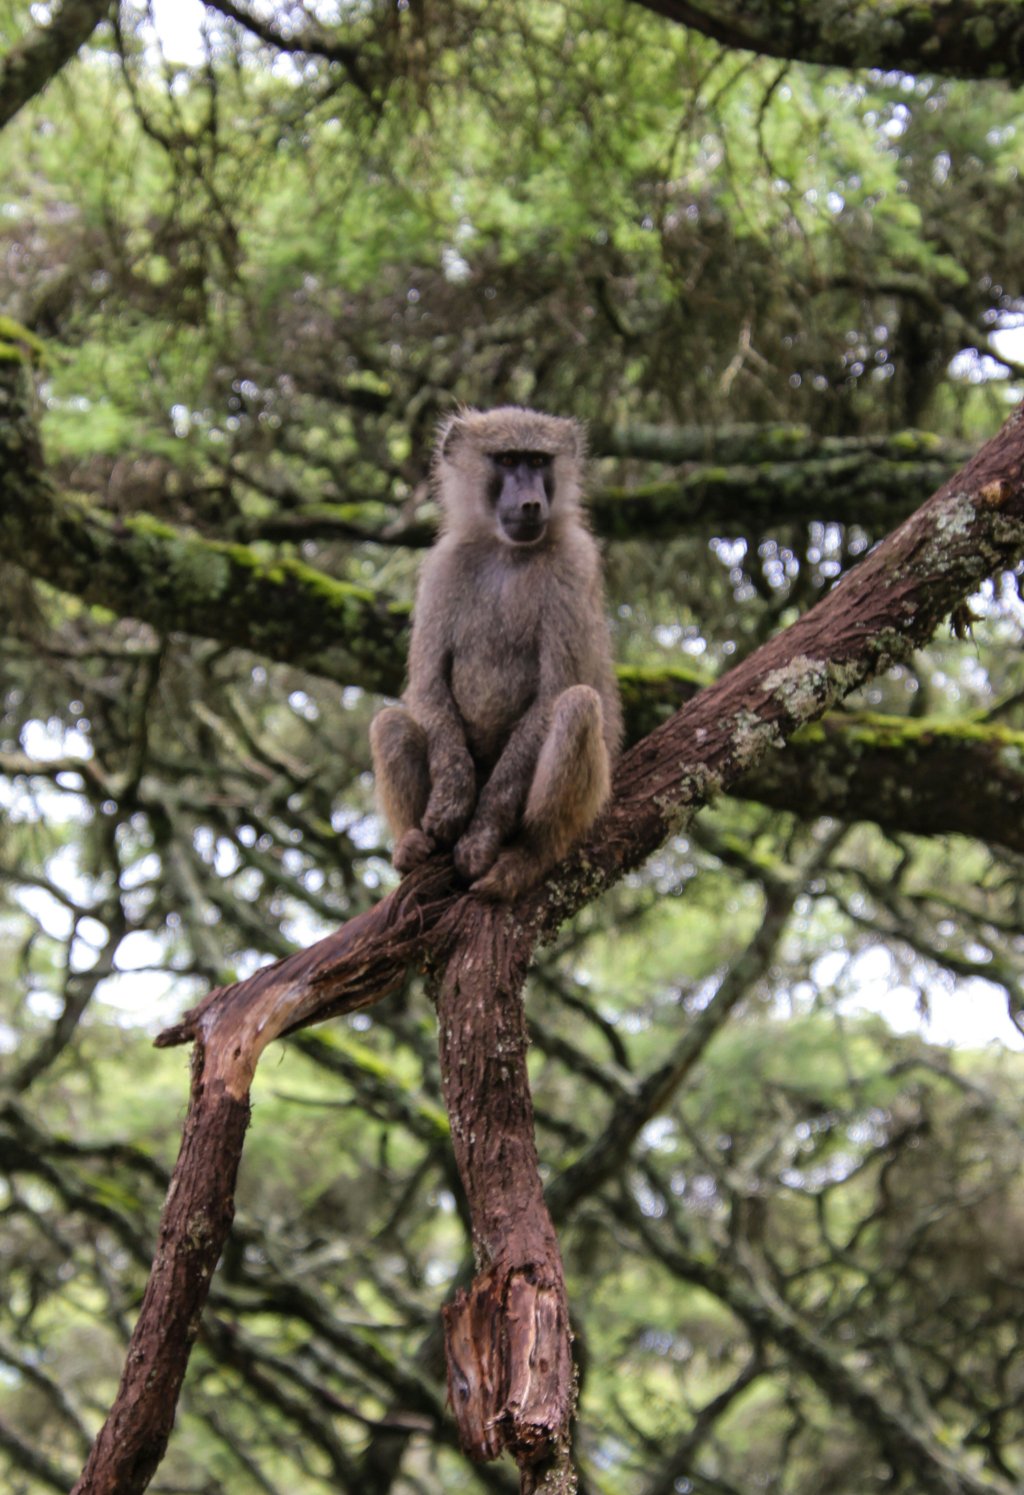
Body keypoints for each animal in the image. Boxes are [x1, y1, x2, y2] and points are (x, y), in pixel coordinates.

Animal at [369, 405, 622, 902]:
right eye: (507, 460)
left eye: (539, 461)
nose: (530, 503)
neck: (507, 552)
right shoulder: (442, 567)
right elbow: (427, 686)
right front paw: (450, 803)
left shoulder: (575, 563)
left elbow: (553, 693)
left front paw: (481, 835)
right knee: (391, 722)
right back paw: (412, 846)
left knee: (577, 707)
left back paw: (529, 857)